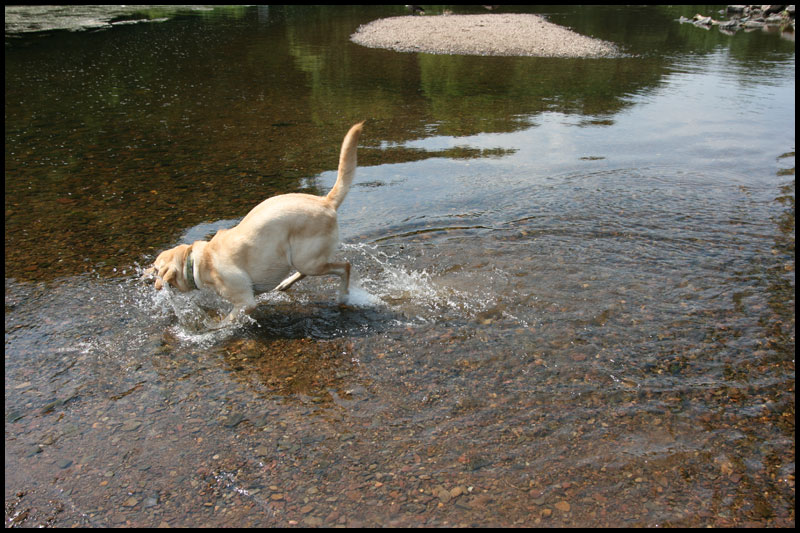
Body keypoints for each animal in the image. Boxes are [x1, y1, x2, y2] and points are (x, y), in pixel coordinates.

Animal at [146, 122, 362, 322]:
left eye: (156, 268)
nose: (145, 277)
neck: (200, 261)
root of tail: (326, 201)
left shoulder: (245, 302)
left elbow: (225, 323)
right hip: (303, 260)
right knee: (307, 272)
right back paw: (285, 284)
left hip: (308, 260)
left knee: (345, 266)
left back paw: (343, 296)